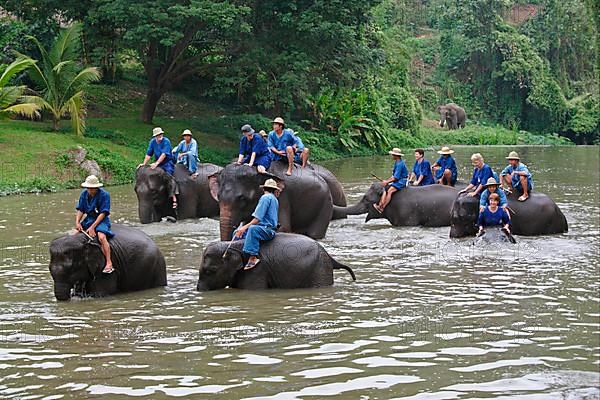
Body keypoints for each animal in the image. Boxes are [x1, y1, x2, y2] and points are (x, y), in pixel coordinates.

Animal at [197, 231, 356, 290]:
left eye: (210, 271)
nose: (199, 290)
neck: (232, 245)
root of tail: (329, 256)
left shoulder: (257, 270)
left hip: (320, 270)